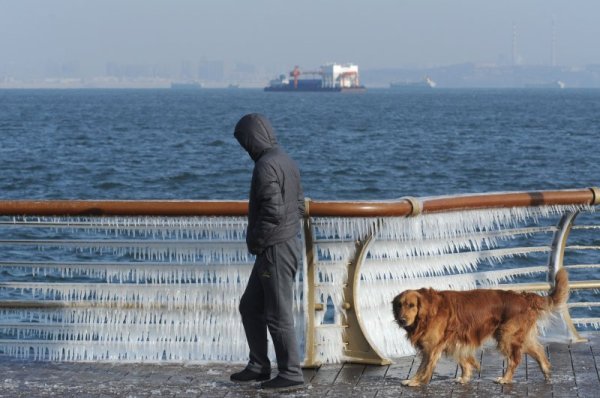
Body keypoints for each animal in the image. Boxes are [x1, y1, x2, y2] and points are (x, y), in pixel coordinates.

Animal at [392, 268, 568, 386]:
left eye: (411, 305)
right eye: (399, 305)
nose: (402, 320)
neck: (428, 311)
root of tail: (523, 297)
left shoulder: (432, 346)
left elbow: (423, 366)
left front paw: (415, 381)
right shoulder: (453, 340)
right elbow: (463, 360)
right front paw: (465, 376)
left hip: (506, 336)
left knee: (514, 360)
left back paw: (506, 378)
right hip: (517, 336)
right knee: (538, 351)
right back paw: (546, 371)